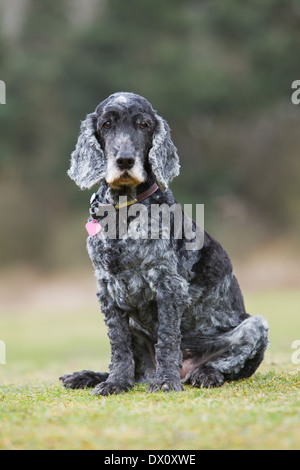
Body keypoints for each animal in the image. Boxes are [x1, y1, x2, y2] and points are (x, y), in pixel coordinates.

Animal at [59, 91, 268, 392]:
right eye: (107, 124)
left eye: (143, 125)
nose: (125, 160)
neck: (125, 210)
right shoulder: (107, 291)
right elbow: (118, 345)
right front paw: (115, 383)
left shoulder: (168, 285)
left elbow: (168, 338)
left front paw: (167, 382)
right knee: (135, 369)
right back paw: (87, 376)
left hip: (255, 326)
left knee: (227, 365)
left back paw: (204, 374)